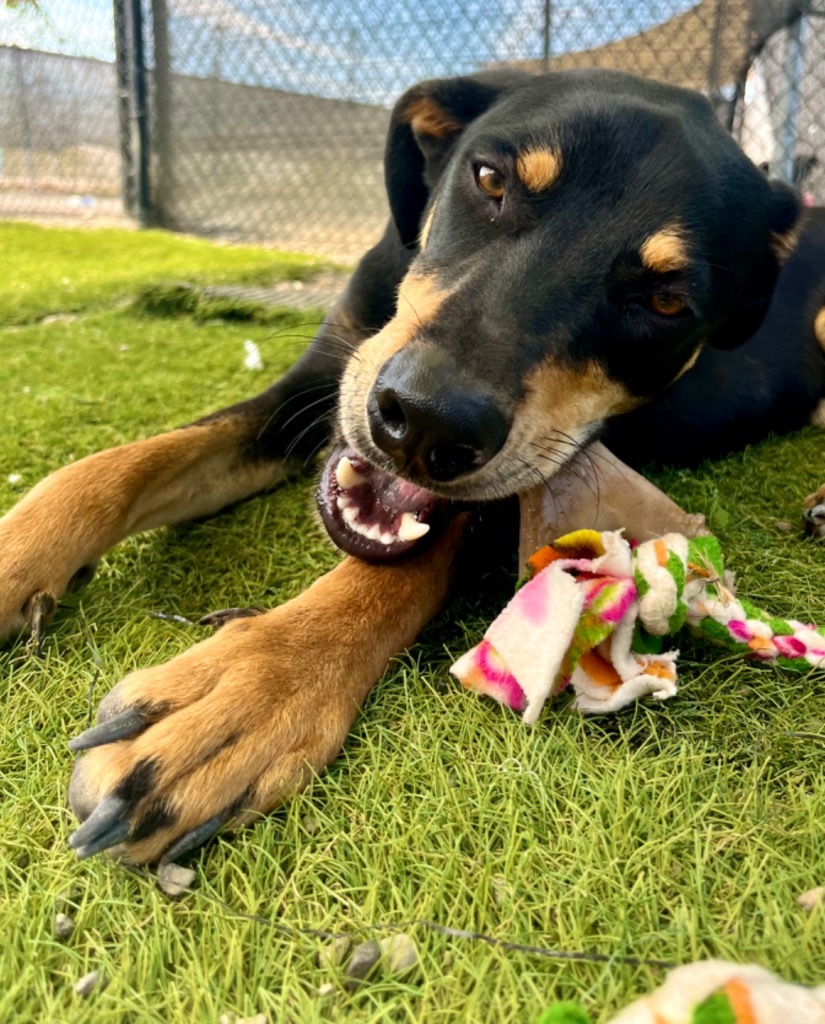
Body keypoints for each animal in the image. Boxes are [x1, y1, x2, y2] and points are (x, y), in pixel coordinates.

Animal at [1, 68, 825, 860]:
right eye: (490, 179)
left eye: (666, 301)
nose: (427, 421)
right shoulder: (314, 385)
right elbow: (122, 463)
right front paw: (19, 555)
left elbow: (404, 566)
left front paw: (253, 687)